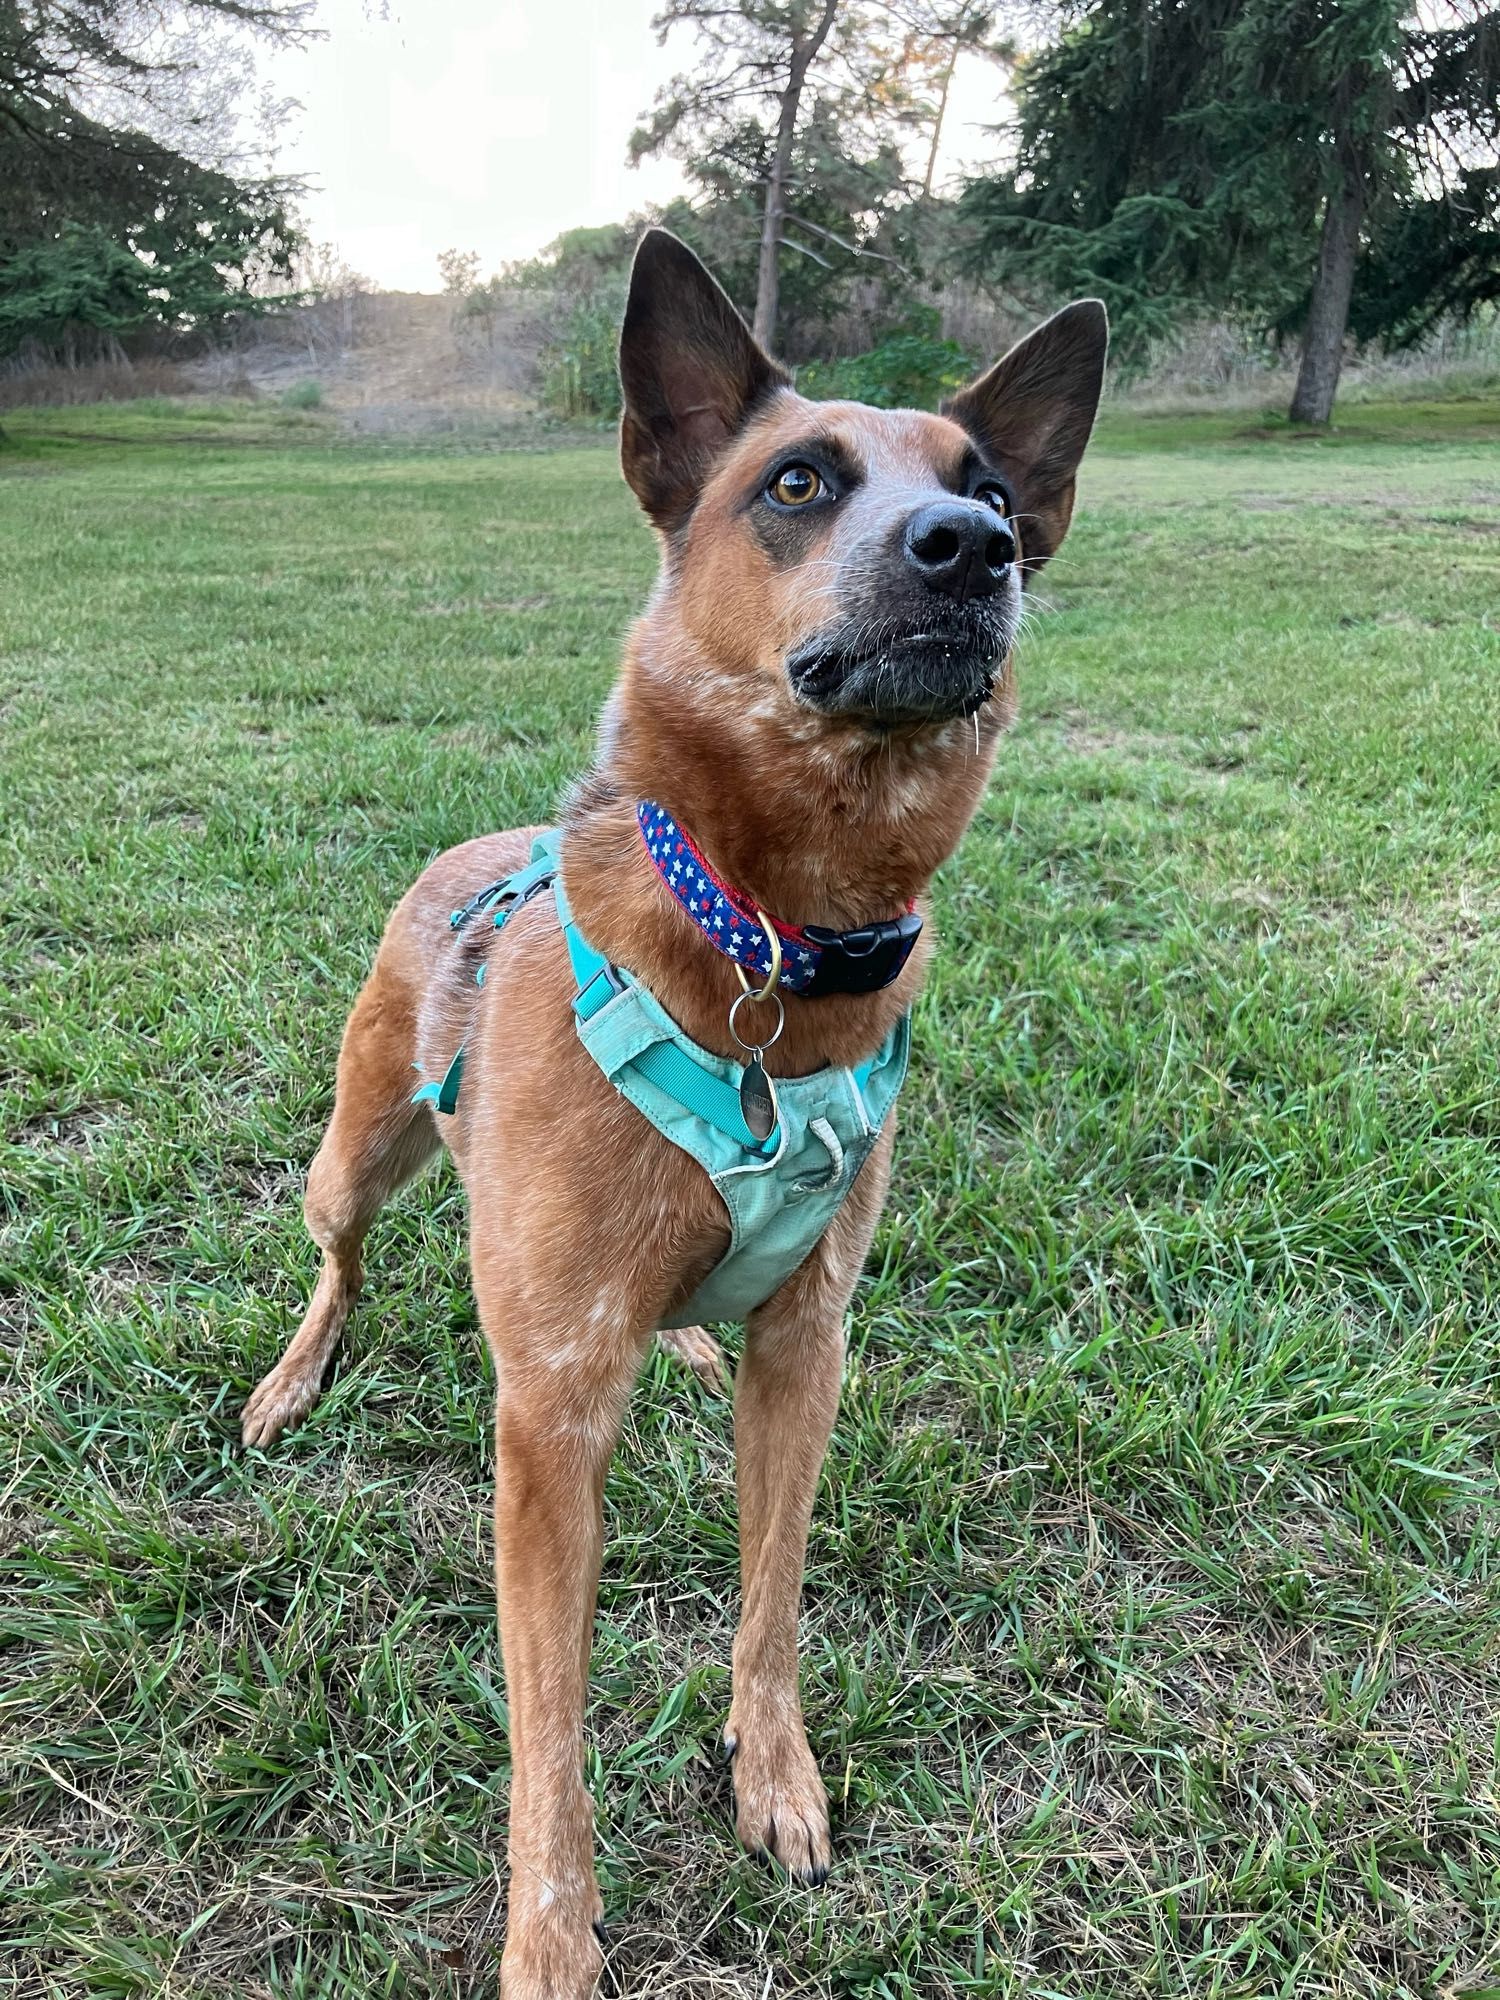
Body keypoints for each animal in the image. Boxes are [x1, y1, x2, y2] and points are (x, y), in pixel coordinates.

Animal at [241, 227, 1112, 1992]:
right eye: (798, 480)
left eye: (992, 483)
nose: (974, 550)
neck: (770, 942)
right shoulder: (549, 1422)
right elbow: (550, 1735)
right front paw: (552, 1938)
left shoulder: (813, 1345)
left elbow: (771, 1595)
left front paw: (773, 1772)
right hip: (353, 1152)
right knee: (340, 1263)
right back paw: (295, 1376)